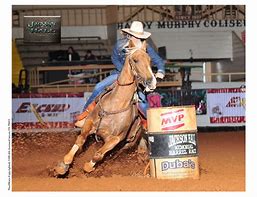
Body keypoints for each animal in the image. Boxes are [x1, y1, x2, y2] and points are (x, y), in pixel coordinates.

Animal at [53, 40, 154, 175]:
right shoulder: (89, 123)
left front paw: (88, 167)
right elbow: (80, 140)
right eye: (135, 60)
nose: (151, 81)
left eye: (149, 60)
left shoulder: (116, 138)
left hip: (129, 142)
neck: (116, 103)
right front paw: (64, 164)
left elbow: (98, 155)